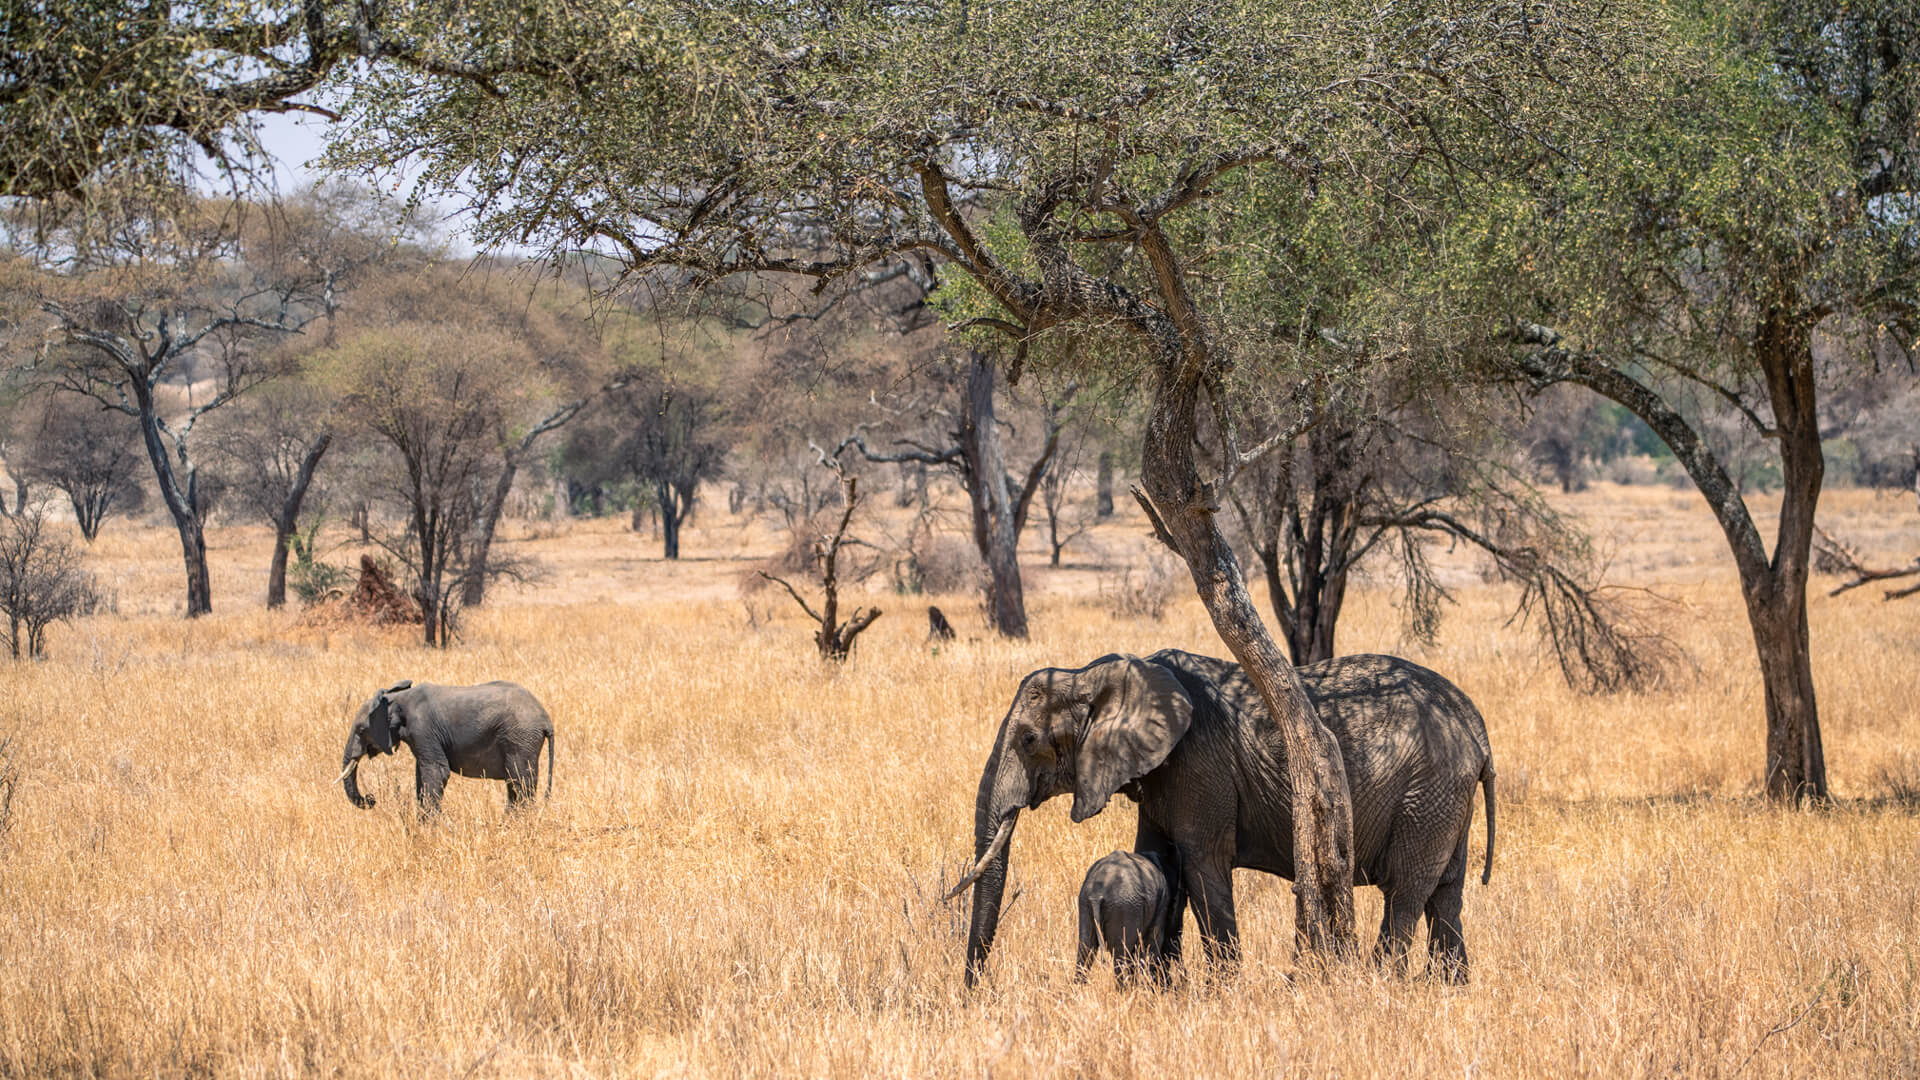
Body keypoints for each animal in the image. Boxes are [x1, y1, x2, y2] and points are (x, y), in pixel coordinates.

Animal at [339, 680, 554, 815]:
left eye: (361, 730)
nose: (371, 798)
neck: (398, 698)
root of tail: (546, 719)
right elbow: (421, 776)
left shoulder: (423, 729)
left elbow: (436, 772)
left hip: (520, 739)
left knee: (520, 783)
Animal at [1075, 849, 1173, 987]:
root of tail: (1097, 894)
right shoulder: (1162, 902)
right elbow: (1152, 942)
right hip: (1124, 906)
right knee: (1121, 955)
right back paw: (1124, 990)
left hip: (1086, 901)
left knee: (1085, 948)